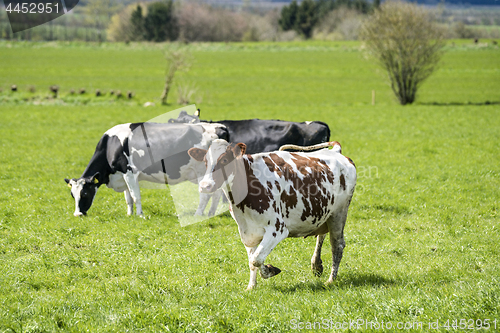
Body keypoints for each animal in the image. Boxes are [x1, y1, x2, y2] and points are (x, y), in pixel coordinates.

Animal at [63, 121, 228, 215]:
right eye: (72, 195)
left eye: (85, 193)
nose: (77, 214)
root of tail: (218, 126)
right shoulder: (122, 175)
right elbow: (128, 198)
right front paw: (129, 214)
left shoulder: (129, 172)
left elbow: (135, 196)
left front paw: (140, 215)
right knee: (217, 193)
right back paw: (211, 213)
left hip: (202, 172)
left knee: (206, 195)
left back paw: (198, 214)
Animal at [188, 137, 356, 288]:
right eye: (205, 162)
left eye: (224, 160)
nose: (205, 185)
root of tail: (336, 152)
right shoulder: (247, 232)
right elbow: (252, 260)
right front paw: (252, 286)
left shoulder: (277, 229)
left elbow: (256, 259)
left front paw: (269, 271)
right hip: (325, 211)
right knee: (322, 235)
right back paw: (316, 264)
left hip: (339, 214)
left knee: (337, 246)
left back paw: (331, 280)